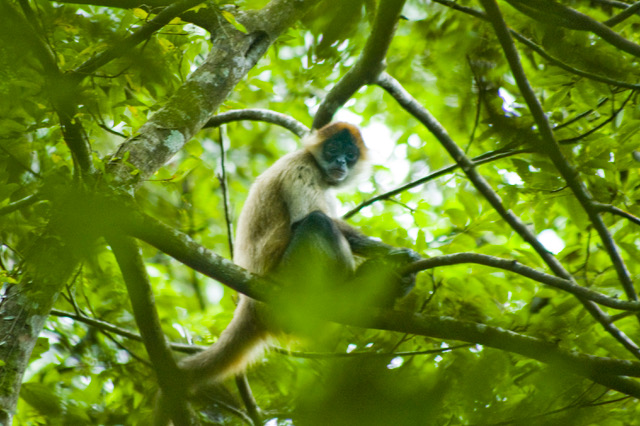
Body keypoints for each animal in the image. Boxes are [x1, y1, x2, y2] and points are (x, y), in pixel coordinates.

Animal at [178, 120, 418, 392]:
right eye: (333, 149)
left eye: (350, 155)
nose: (341, 161)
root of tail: (251, 305)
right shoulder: (300, 165)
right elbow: (305, 219)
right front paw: (394, 255)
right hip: (288, 278)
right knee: (316, 221)